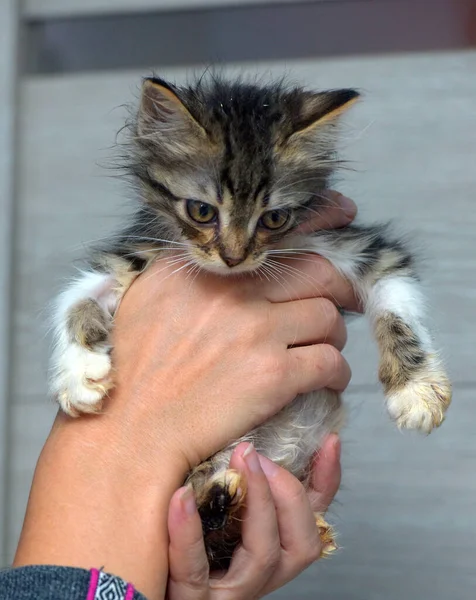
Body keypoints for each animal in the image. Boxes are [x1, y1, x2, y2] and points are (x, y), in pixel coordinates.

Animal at [48, 77, 450, 568]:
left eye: (274, 218)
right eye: (201, 211)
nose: (234, 257)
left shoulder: (356, 247)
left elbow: (397, 306)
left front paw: (416, 389)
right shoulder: (138, 251)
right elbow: (76, 296)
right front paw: (79, 374)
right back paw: (218, 500)